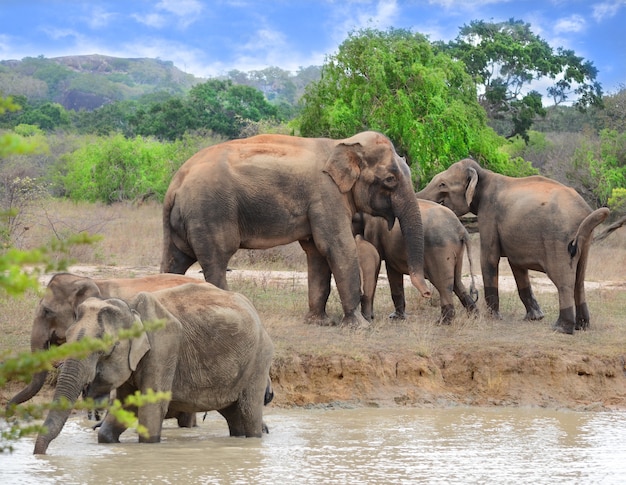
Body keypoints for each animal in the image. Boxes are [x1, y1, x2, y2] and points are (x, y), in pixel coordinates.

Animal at [33, 282, 272, 456]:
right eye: (67, 338)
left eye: (102, 350)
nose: (40, 455)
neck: (129, 308)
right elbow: (124, 407)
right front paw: (108, 440)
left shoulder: (163, 347)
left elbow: (151, 408)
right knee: (233, 414)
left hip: (259, 359)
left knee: (249, 412)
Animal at [158, 130, 428, 328]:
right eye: (390, 180)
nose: (426, 294)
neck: (343, 145)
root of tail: (174, 186)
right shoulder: (326, 195)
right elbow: (337, 247)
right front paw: (360, 327)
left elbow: (317, 252)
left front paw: (319, 323)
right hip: (210, 212)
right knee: (216, 261)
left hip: (182, 222)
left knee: (175, 261)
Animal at [412, 159, 608, 332]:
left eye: (442, 184)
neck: (483, 175)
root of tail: (584, 211)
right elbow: (517, 265)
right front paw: (535, 317)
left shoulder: (489, 213)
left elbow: (489, 257)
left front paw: (493, 317)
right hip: (584, 240)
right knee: (579, 279)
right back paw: (582, 326)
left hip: (559, 237)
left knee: (563, 280)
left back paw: (561, 328)